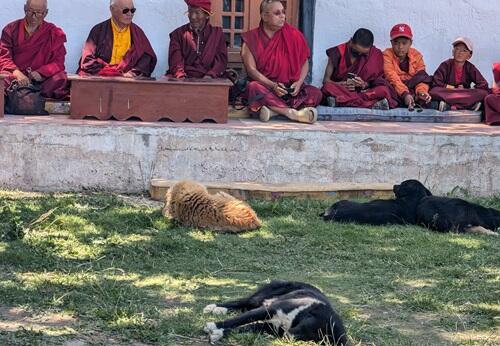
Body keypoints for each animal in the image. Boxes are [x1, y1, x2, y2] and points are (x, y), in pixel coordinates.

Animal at [203, 280, 348, 344]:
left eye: (317, 340)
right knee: (242, 302)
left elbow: (241, 328)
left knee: (243, 307)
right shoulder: (269, 309)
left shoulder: (269, 326)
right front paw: (213, 326)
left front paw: (218, 334)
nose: (286, 337)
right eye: (311, 325)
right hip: (261, 298)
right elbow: (237, 320)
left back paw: (219, 310)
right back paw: (214, 307)